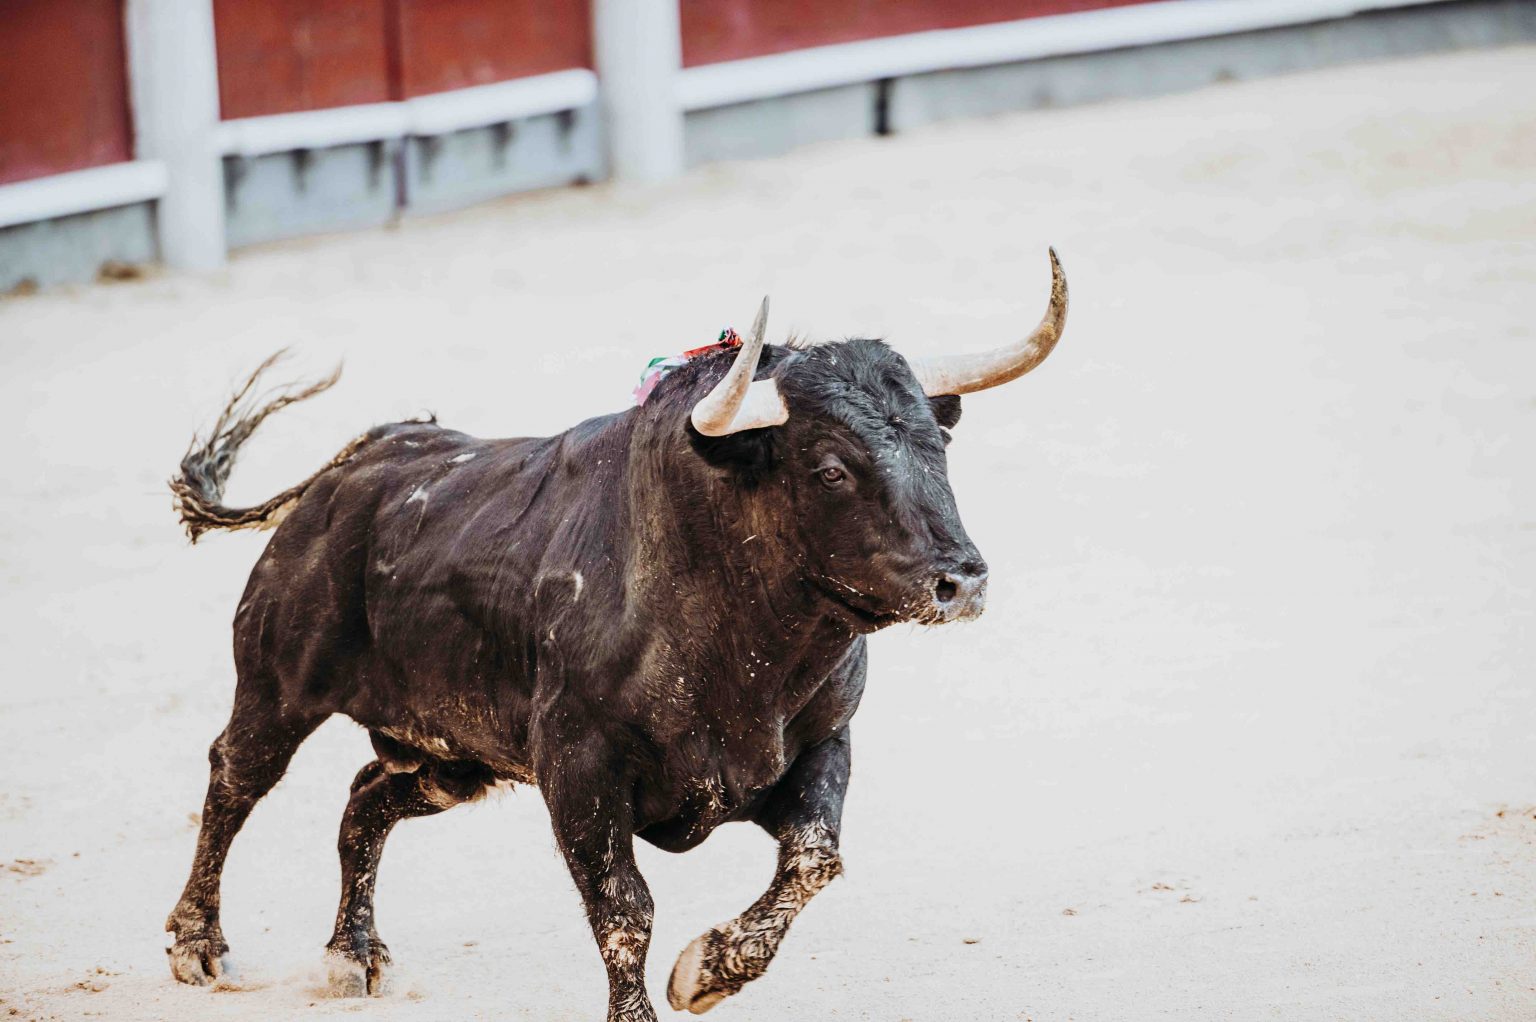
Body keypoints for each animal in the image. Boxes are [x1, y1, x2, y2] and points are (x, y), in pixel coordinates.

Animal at [163, 251, 1068, 1020]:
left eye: (937, 445)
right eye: (832, 468)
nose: (961, 581)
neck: (741, 650)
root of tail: (349, 467)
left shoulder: (821, 742)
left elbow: (816, 857)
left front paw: (708, 972)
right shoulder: (580, 768)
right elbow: (625, 909)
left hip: (451, 756)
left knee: (364, 798)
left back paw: (353, 955)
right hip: (277, 688)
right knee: (233, 778)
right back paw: (198, 945)